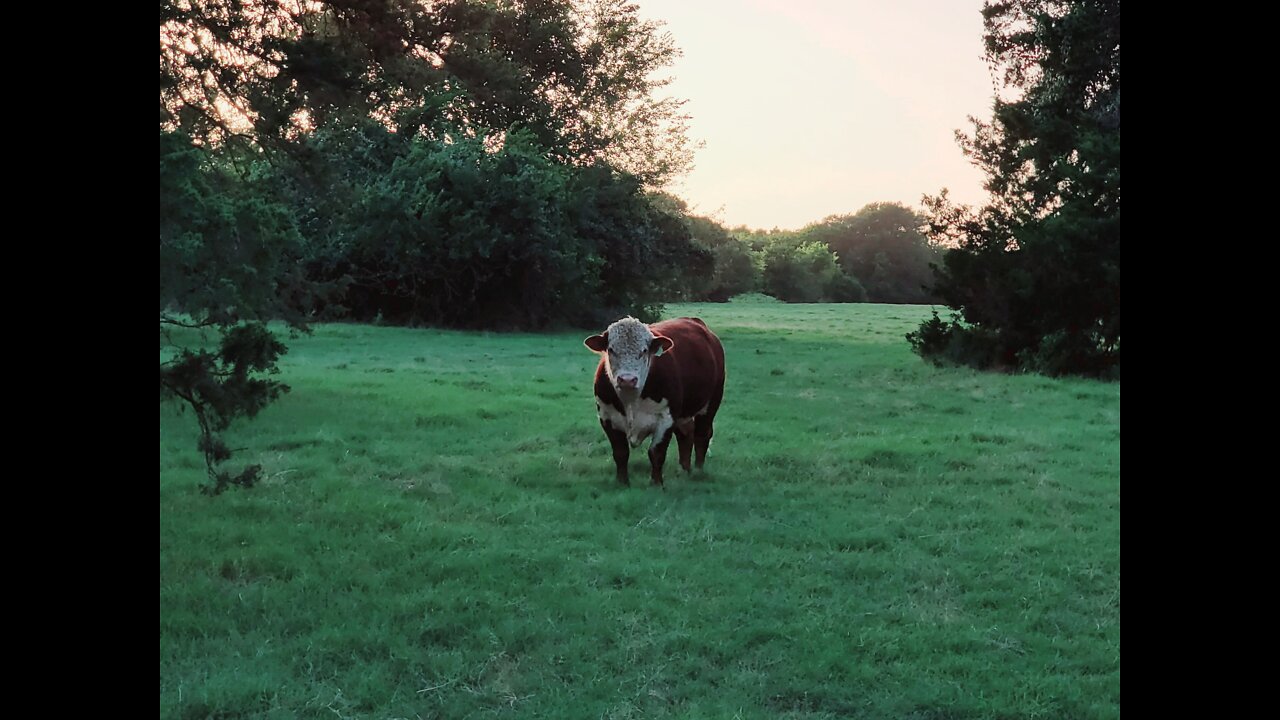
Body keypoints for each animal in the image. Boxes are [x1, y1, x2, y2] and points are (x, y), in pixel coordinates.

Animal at [584, 316, 726, 486]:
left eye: (644, 350)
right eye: (611, 349)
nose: (627, 380)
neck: (631, 401)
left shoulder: (666, 418)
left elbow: (656, 453)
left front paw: (656, 483)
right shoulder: (607, 417)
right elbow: (620, 452)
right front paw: (622, 482)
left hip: (712, 401)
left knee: (702, 435)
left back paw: (698, 470)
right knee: (686, 434)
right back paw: (684, 469)